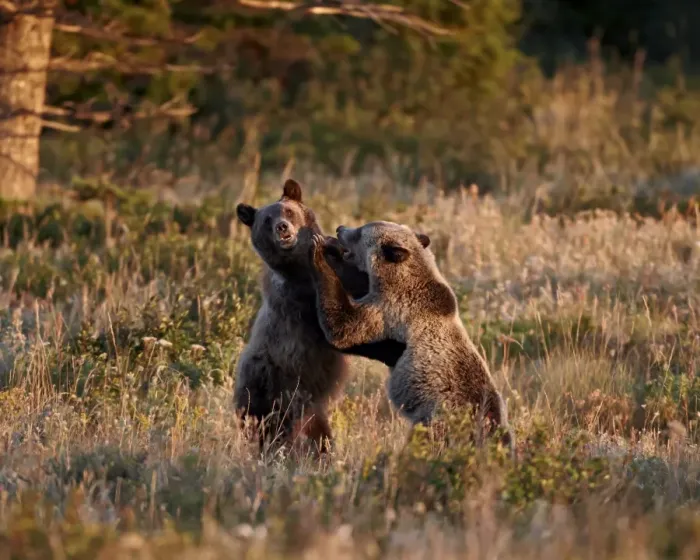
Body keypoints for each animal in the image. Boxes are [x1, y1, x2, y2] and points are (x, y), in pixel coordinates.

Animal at [234, 180, 405, 453]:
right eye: (267, 220)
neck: (299, 267)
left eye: (289, 211)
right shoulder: (299, 301)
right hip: (267, 388)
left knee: (319, 436)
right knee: (269, 427)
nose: (282, 227)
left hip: (310, 410)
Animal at [308, 220, 514, 452]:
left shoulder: (390, 310)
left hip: (435, 419)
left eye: (360, 231)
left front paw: (319, 253)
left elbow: (342, 328)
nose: (340, 229)